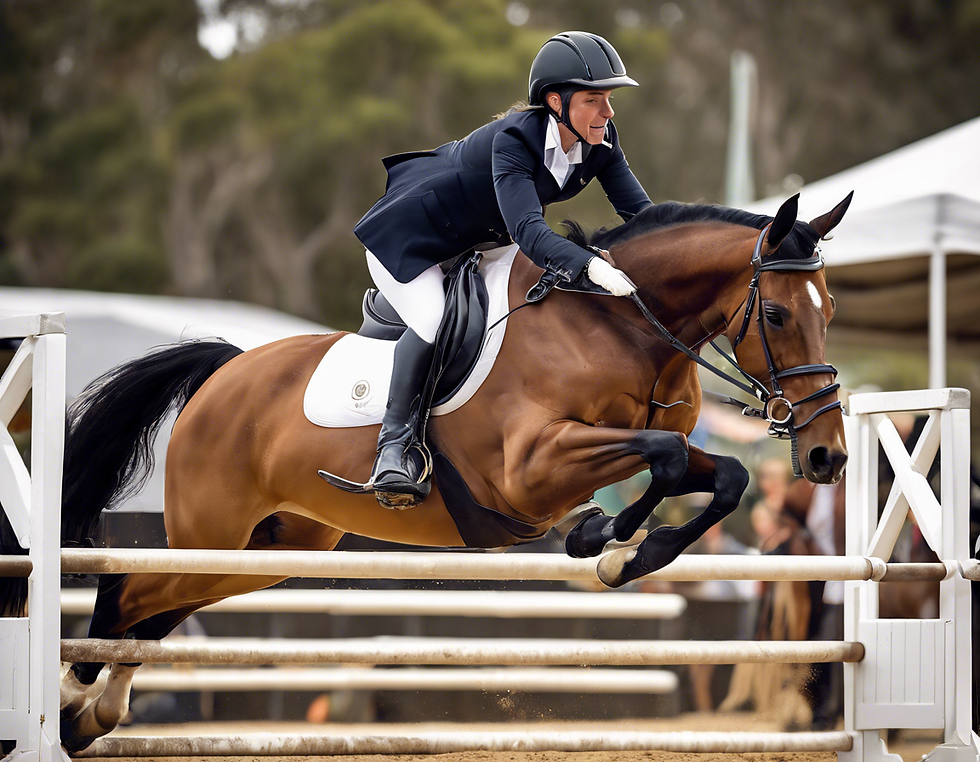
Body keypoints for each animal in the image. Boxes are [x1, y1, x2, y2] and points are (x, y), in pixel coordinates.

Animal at [0, 192, 851, 752]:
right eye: (779, 315)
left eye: (833, 310)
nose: (828, 455)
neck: (620, 326)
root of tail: (224, 372)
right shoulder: (534, 466)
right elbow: (668, 461)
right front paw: (604, 542)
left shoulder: (628, 448)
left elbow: (723, 476)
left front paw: (626, 550)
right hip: (213, 534)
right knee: (127, 589)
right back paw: (73, 700)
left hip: (271, 549)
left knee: (155, 609)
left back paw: (92, 714)